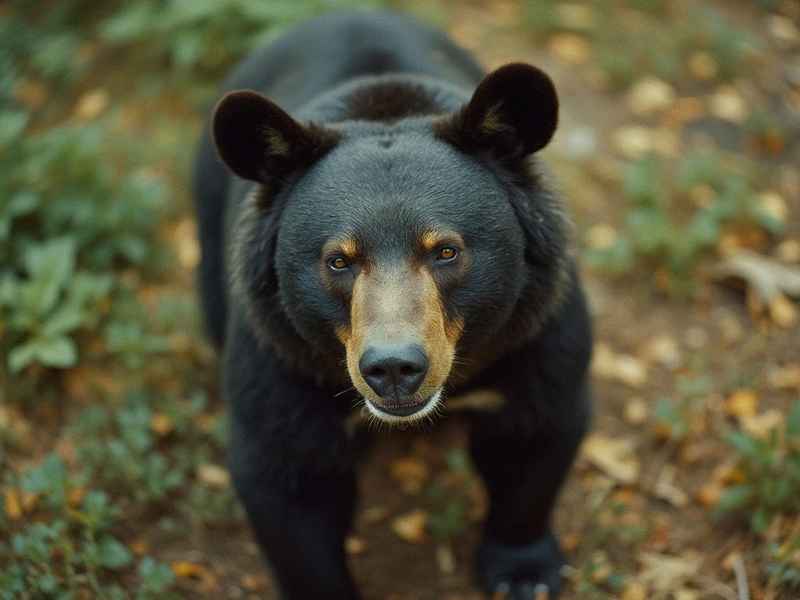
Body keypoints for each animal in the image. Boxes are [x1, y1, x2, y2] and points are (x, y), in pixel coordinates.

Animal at [192, 10, 592, 600]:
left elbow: (535, 434)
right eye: (338, 261)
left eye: (446, 251)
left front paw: (523, 573)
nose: (394, 369)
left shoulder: (537, 326)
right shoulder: (282, 354)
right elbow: (288, 478)